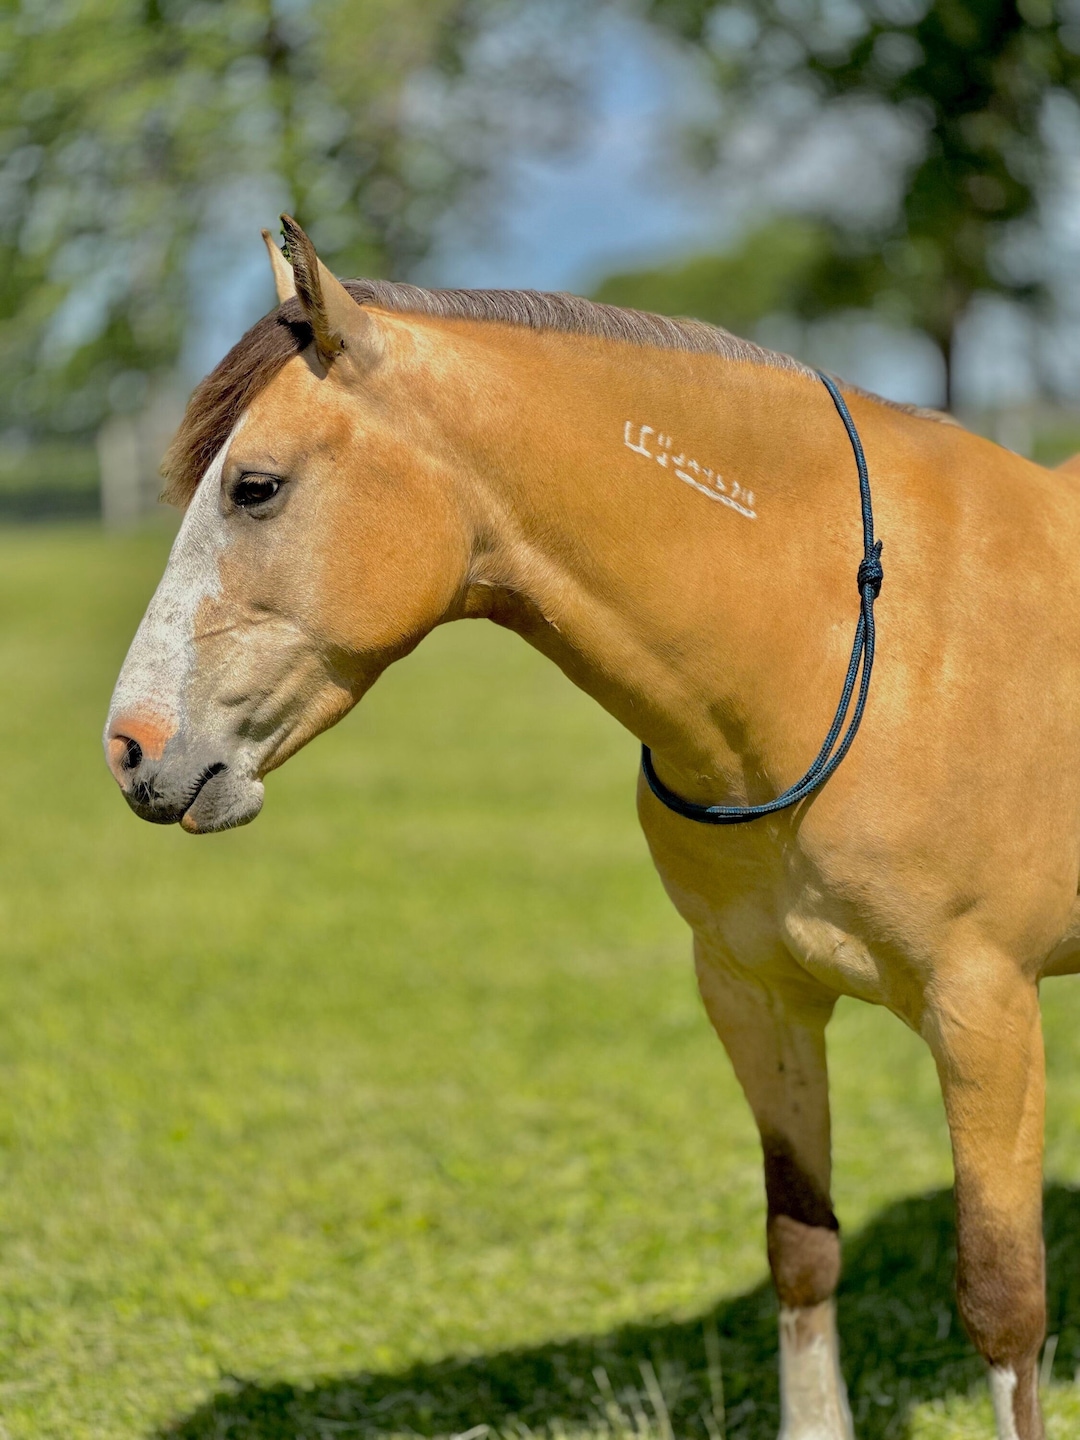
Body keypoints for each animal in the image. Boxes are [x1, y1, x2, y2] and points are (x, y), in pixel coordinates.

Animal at [104, 215, 1080, 1440]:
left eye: (255, 487)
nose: (130, 748)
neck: (854, 641)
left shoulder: (983, 1011)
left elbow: (1004, 1303)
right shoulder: (757, 998)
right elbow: (802, 1251)